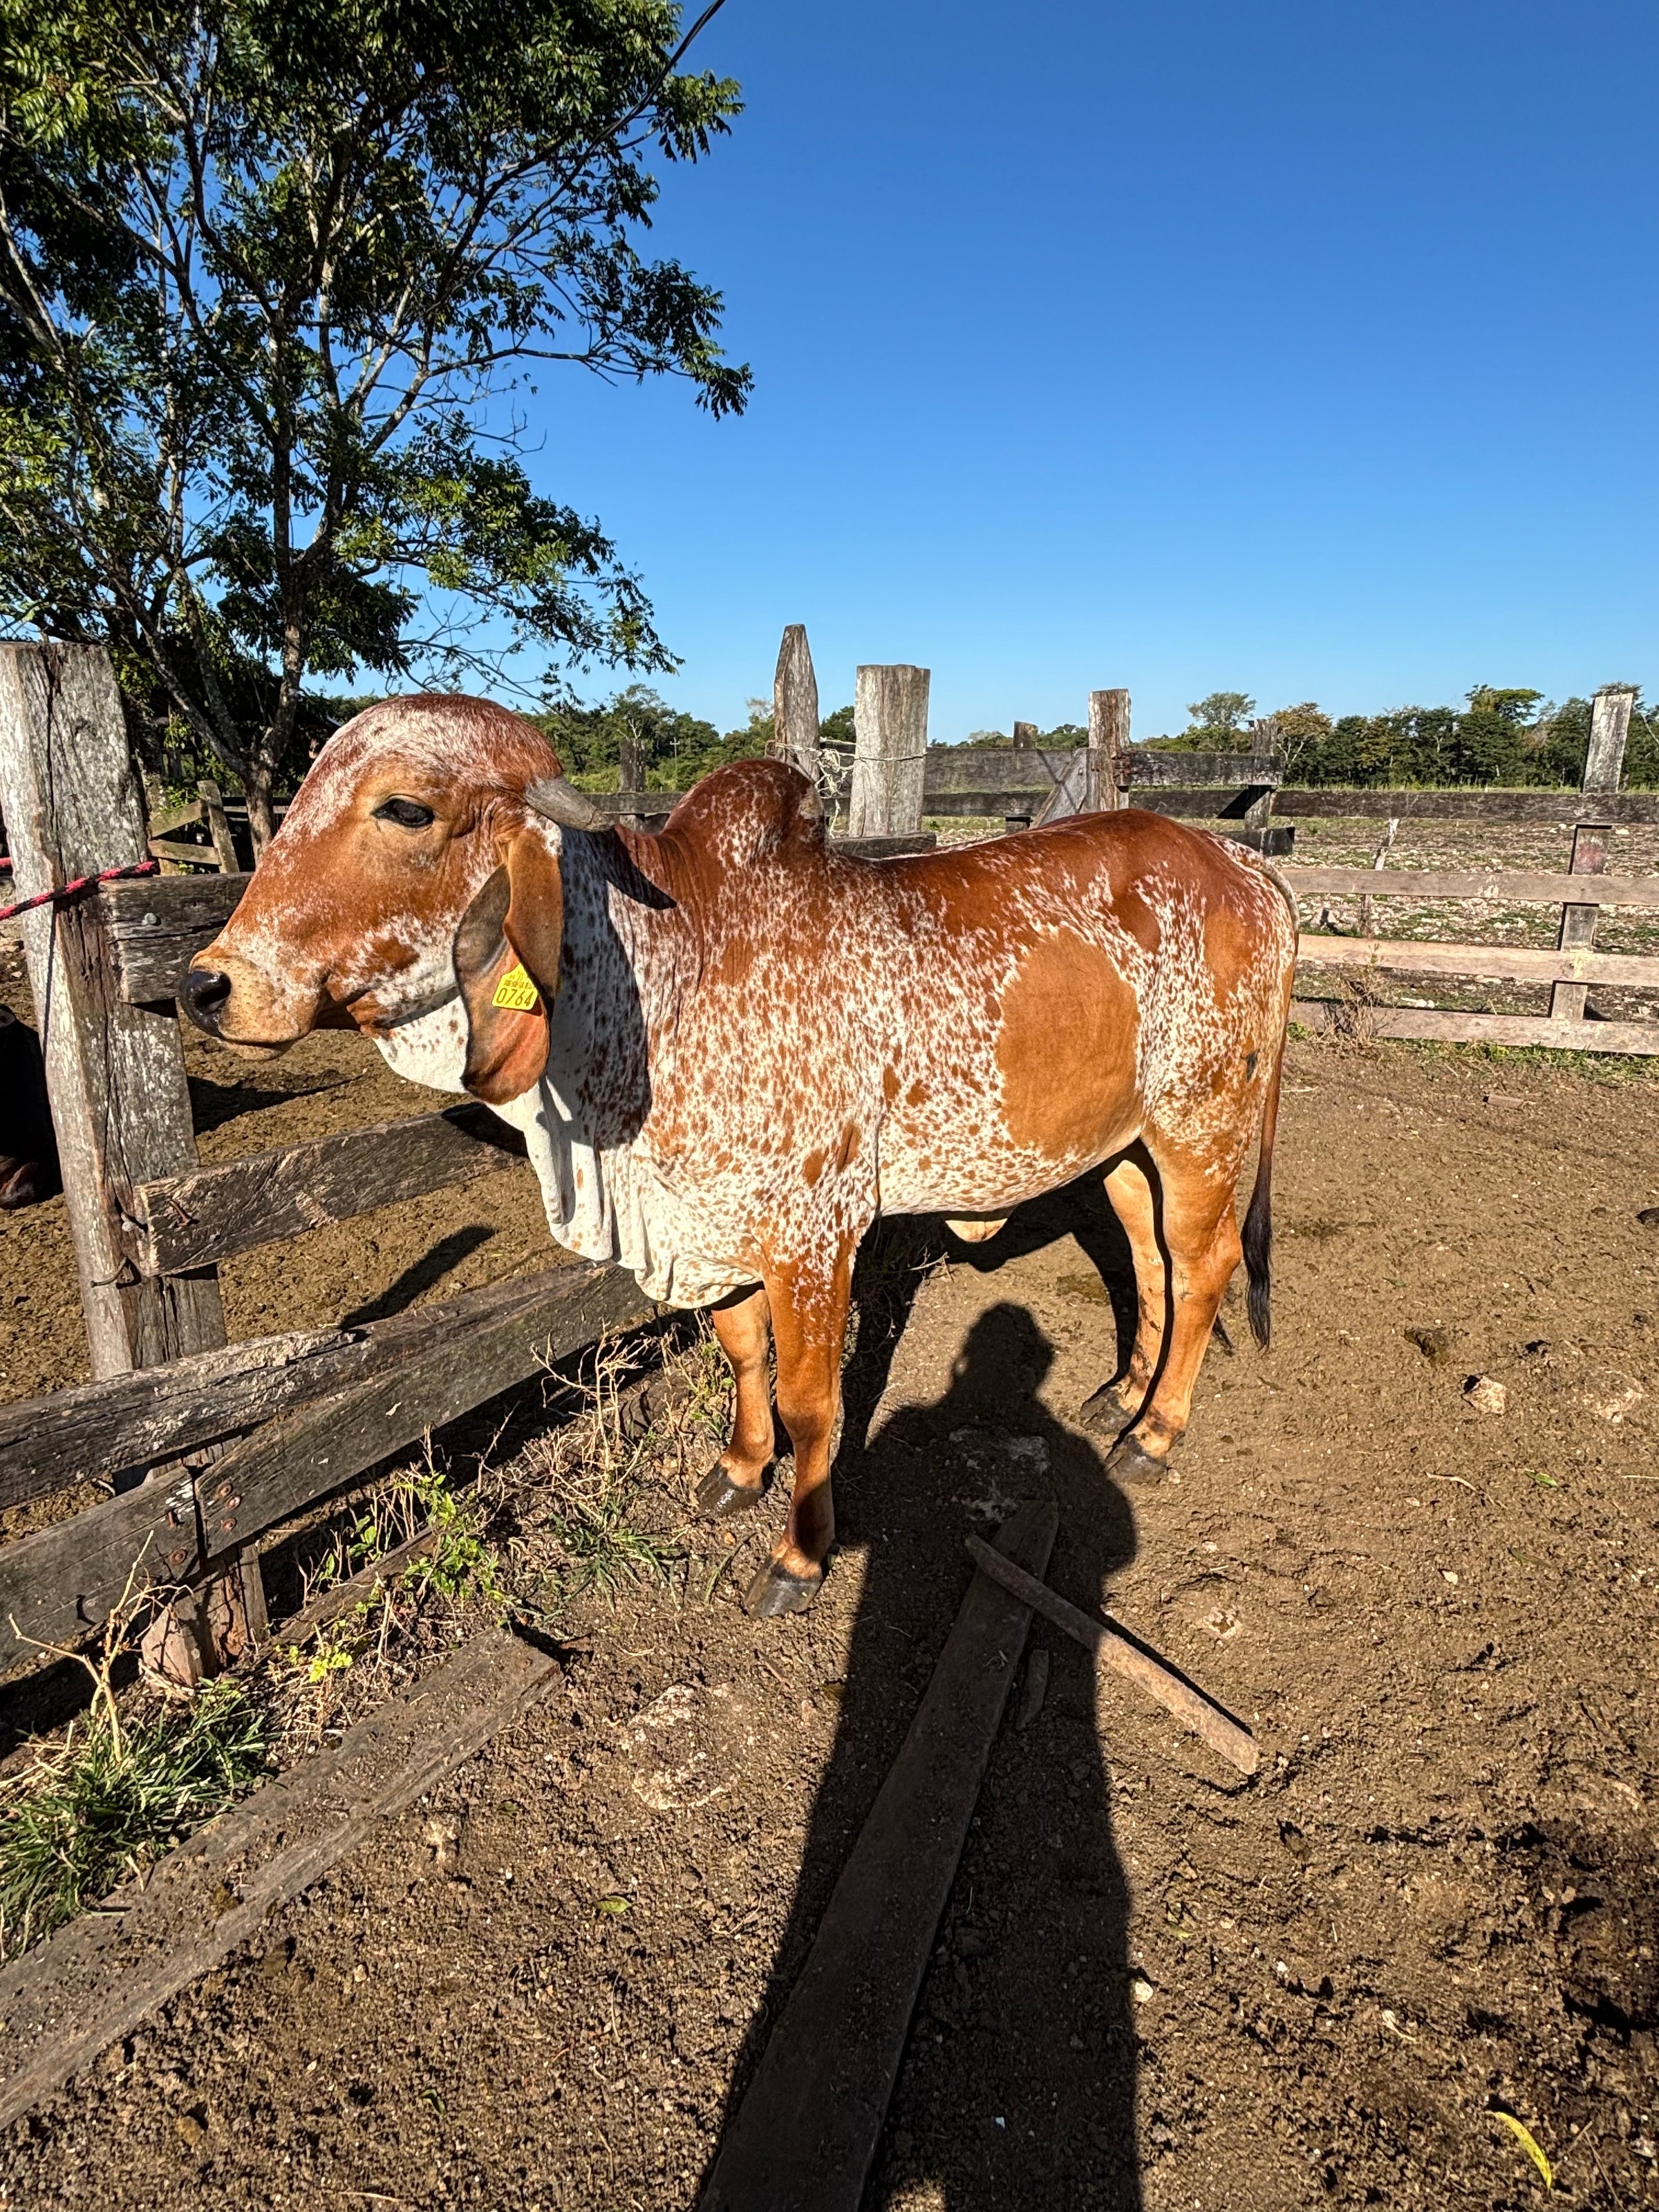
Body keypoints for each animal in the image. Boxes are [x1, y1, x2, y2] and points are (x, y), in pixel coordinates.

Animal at [179, 696, 1297, 1619]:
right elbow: (742, 1356)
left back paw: (1155, 1433)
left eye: (405, 809)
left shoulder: (814, 1233)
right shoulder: (709, 1226)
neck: (664, 981)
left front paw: (801, 1554)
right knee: (1148, 1258)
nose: (207, 984)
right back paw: (1122, 1392)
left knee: (1204, 1267)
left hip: (1204, 1122)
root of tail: (1249, 867)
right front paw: (740, 1468)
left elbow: (812, 1400)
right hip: (1123, 1145)